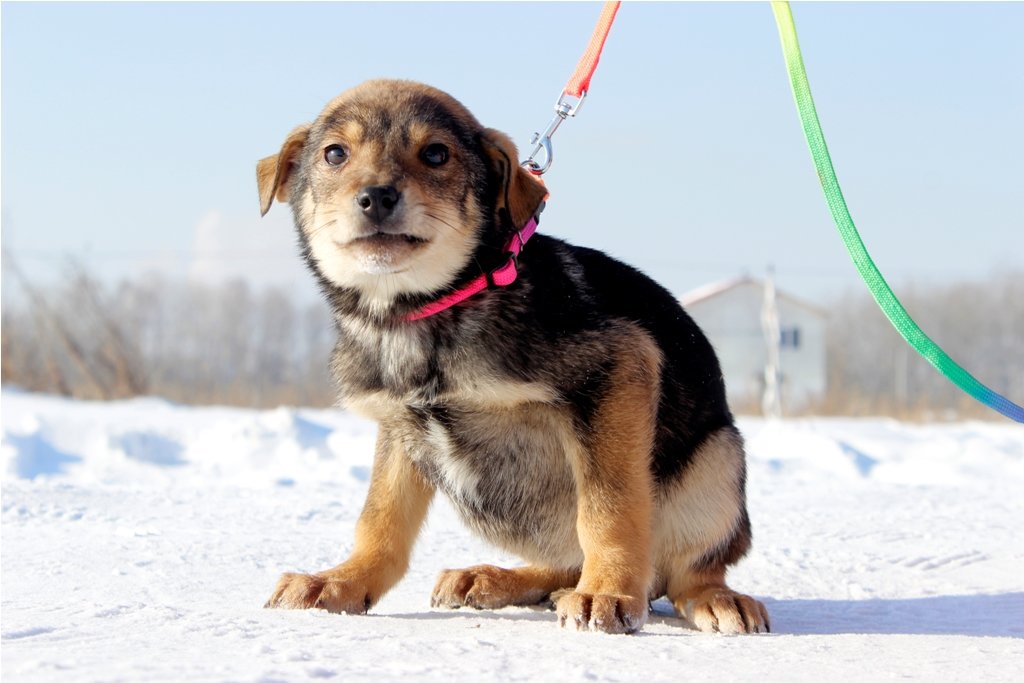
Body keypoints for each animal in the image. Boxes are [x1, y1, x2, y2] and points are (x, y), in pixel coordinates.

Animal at [256, 80, 770, 634]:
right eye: (335, 154)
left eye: (435, 154)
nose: (376, 197)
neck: (429, 310)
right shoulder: (400, 426)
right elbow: (380, 518)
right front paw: (342, 580)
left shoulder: (617, 371)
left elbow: (608, 508)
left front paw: (608, 591)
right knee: (566, 563)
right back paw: (496, 577)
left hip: (718, 461)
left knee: (681, 572)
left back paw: (710, 597)